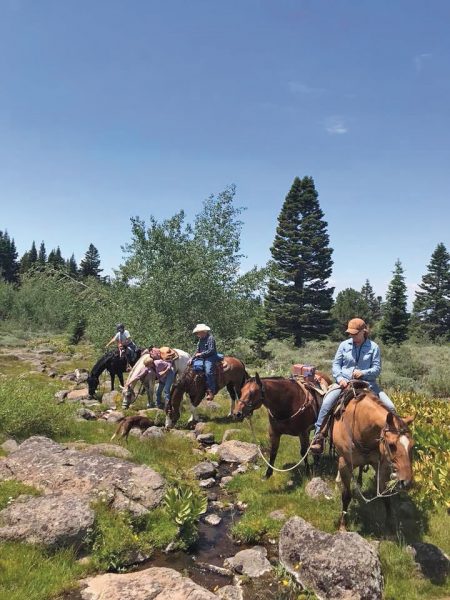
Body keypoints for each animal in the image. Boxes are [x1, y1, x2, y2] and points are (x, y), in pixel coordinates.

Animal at [332, 394, 414, 528]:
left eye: (412, 445)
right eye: (391, 445)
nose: (406, 482)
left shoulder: (380, 465)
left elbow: (385, 496)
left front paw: (390, 525)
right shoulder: (345, 463)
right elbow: (346, 495)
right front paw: (343, 525)